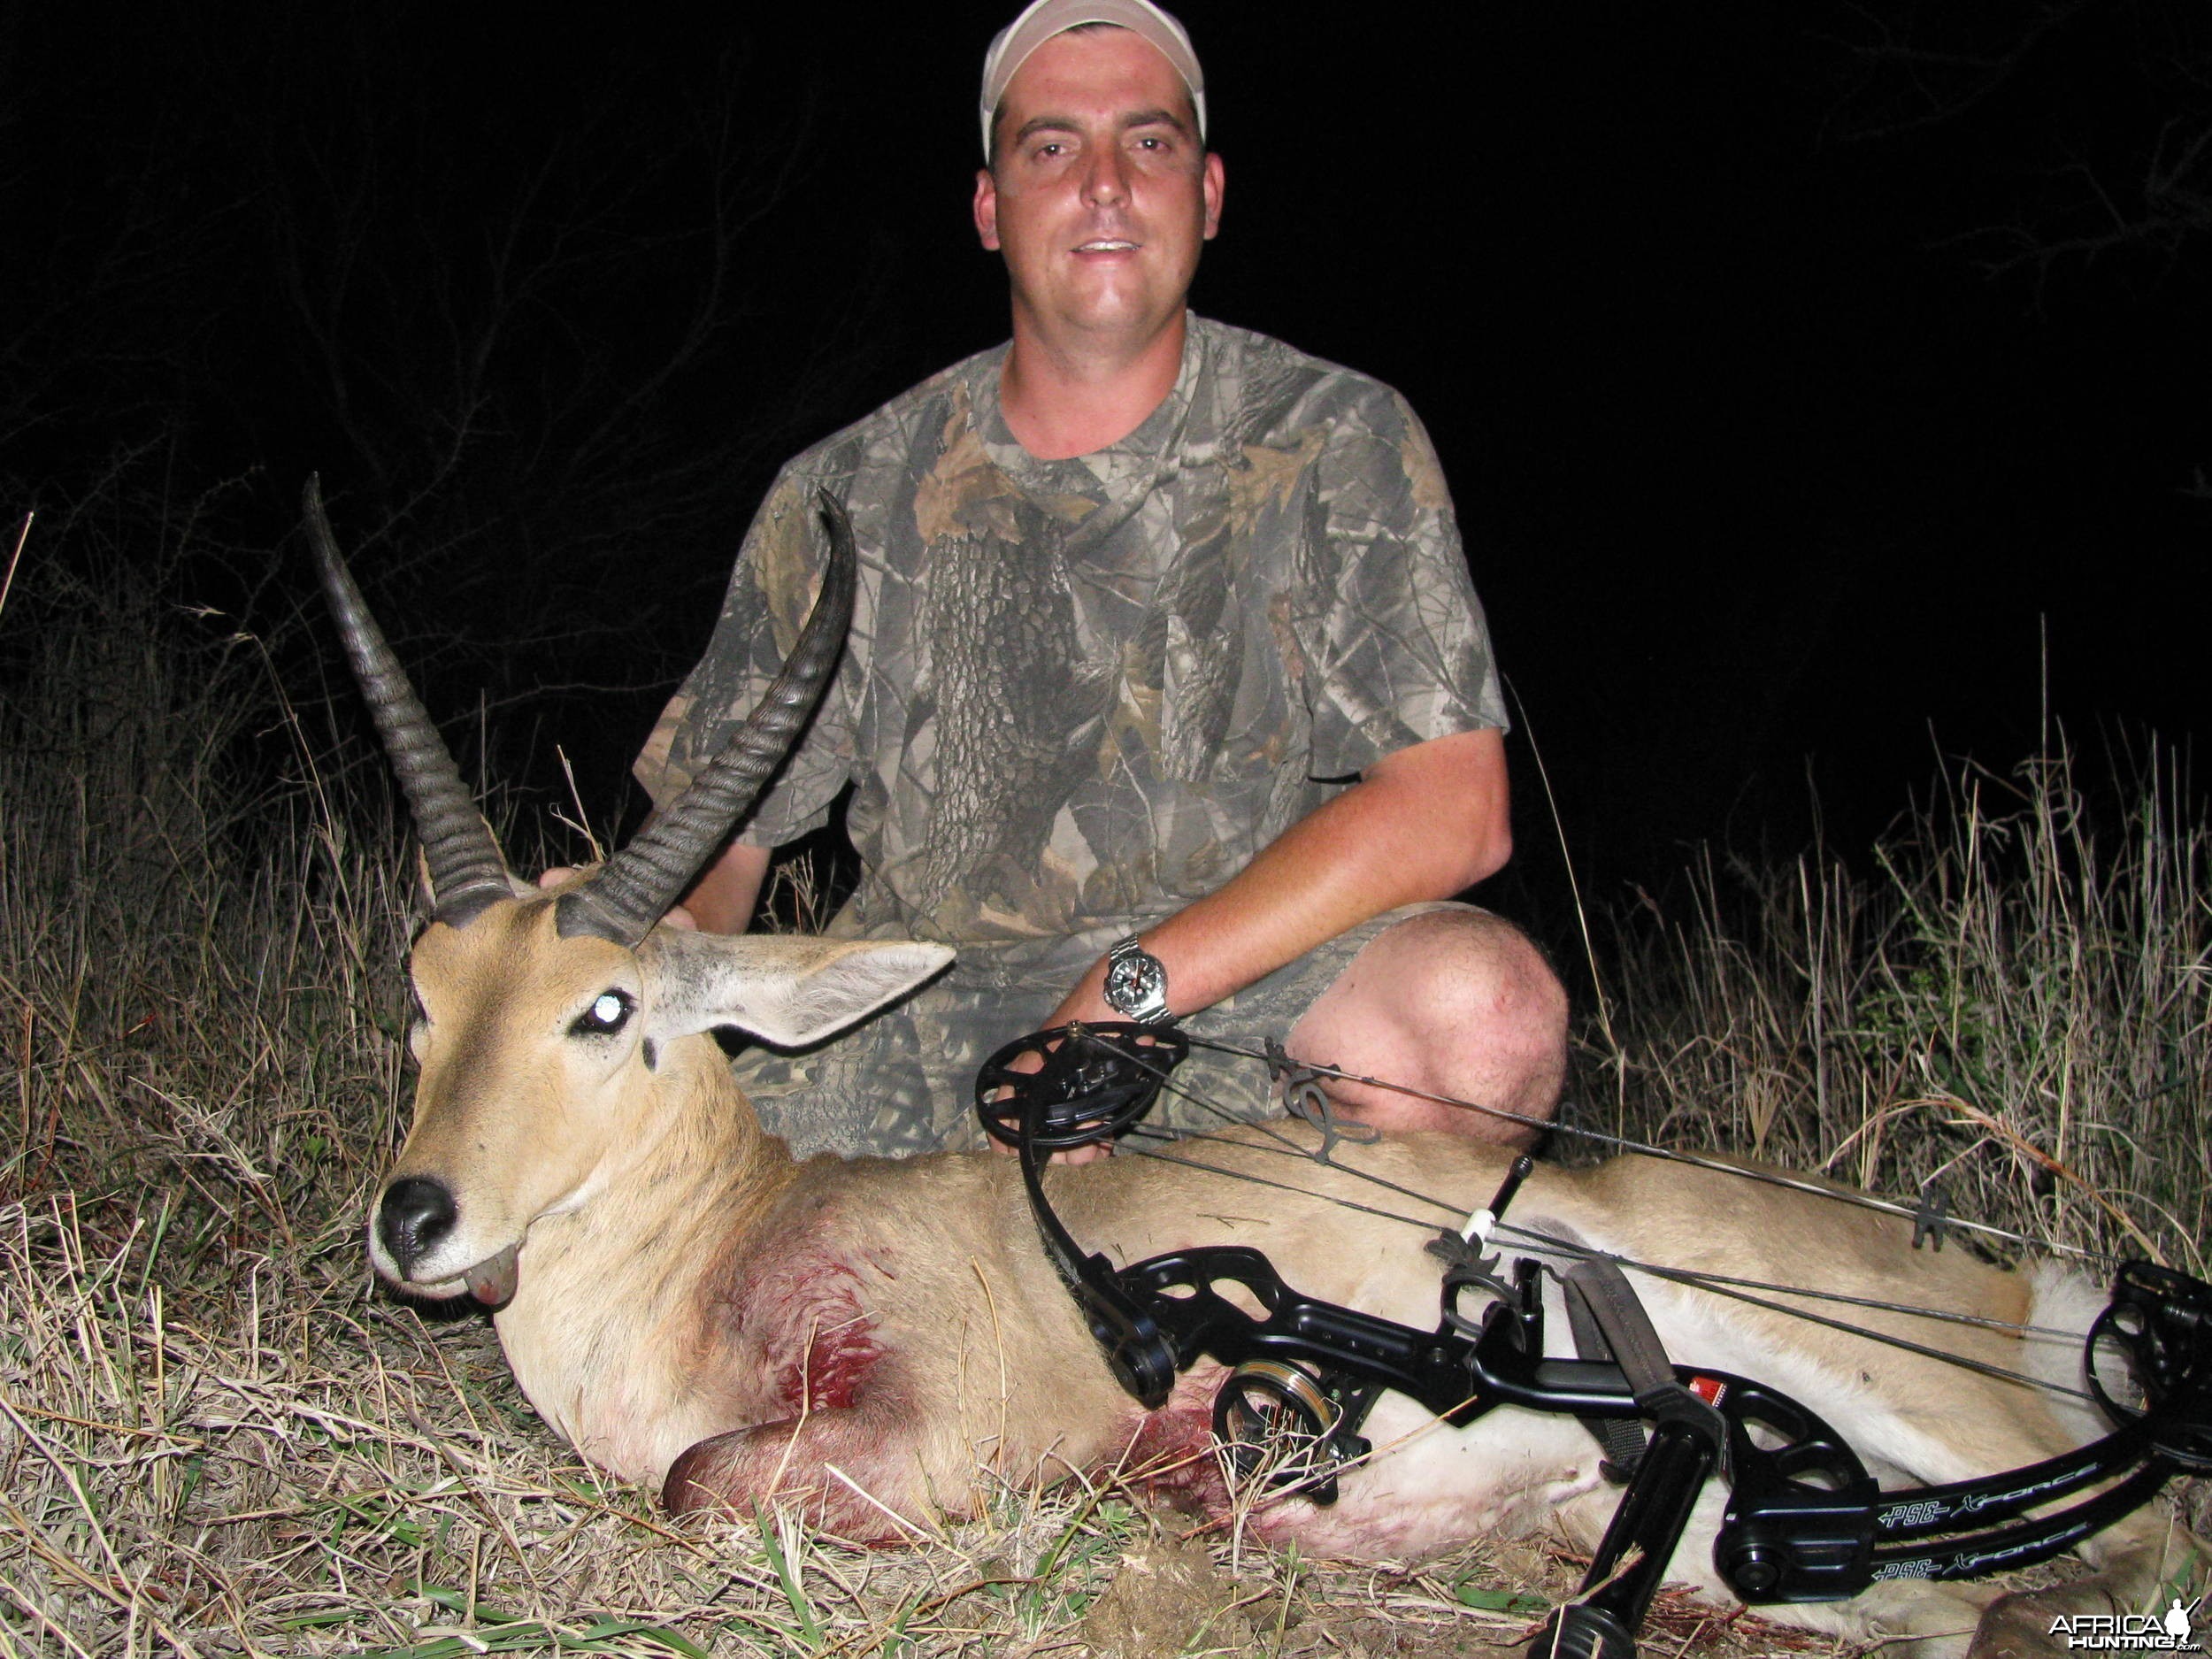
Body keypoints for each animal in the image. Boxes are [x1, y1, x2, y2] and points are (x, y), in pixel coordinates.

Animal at [307, 480, 2194, 1659]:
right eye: (418, 994)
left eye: (605, 1008)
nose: (416, 1220)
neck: (720, 1255)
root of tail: (2041, 1286)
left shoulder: (935, 1423)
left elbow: (706, 1481)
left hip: (1885, 1387)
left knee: (2136, 1533)